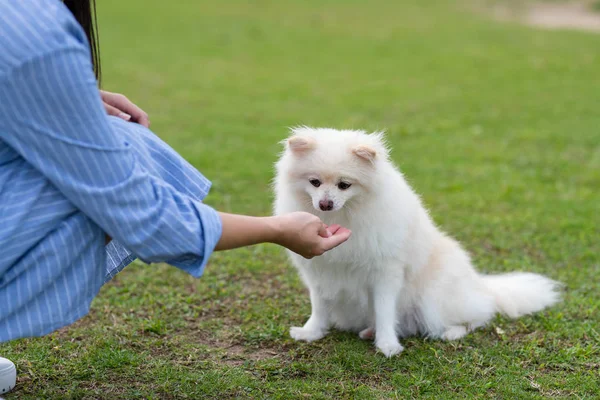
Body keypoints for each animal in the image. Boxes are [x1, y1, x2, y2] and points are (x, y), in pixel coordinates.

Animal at [272, 127, 564, 356]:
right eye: (315, 182)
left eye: (344, 185)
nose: (325, 203)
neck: (346, 214)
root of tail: (481, 284)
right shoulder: (320, 272)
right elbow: (319, 307)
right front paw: (312, 332)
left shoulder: (386, 272)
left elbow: (385, 310)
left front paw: (388, 345)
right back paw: (369, 331)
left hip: (433, 300)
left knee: (479, 316)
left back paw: (450, 333)